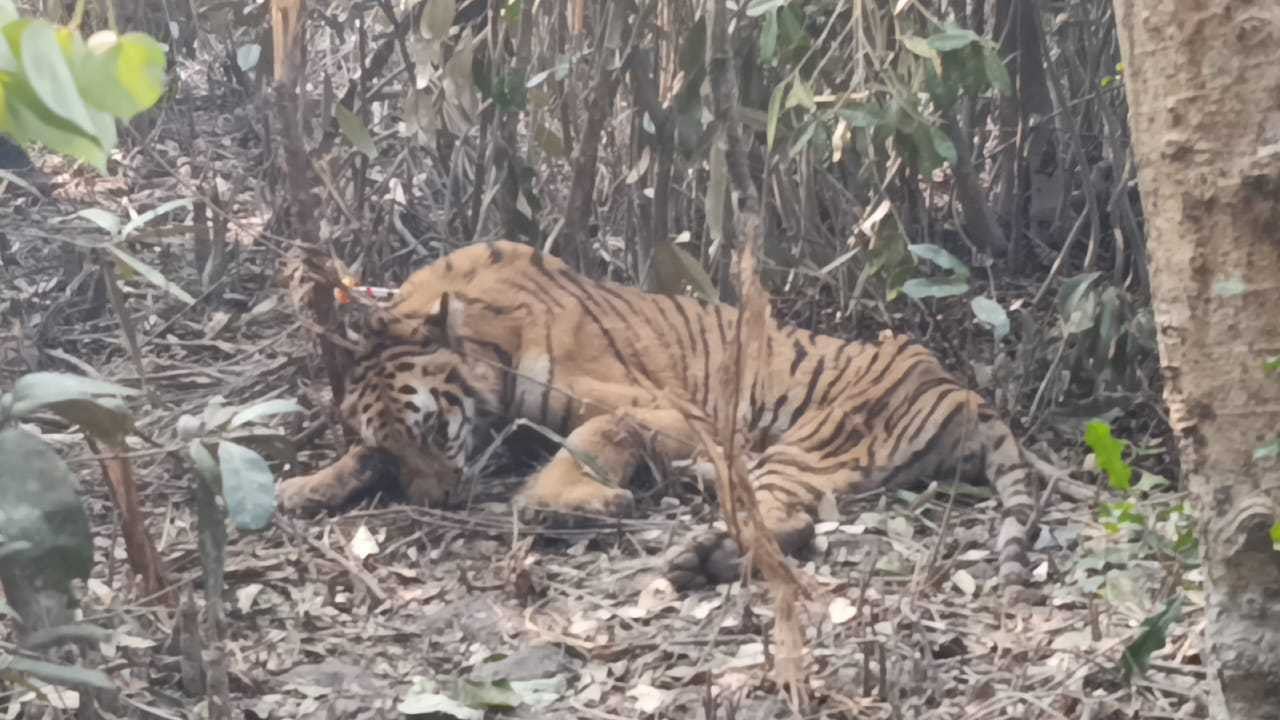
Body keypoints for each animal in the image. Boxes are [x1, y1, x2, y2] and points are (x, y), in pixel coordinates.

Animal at [278, 240, 1040, 599]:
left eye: (435, 430)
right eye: (395, 449)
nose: (435, 502)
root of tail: (959, 389)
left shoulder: (669, 408)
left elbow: (591, 437)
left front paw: (560, 503)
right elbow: (354, 457)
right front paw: (303, 487)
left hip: (807, 445)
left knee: (786, 523)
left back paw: (695, 553)